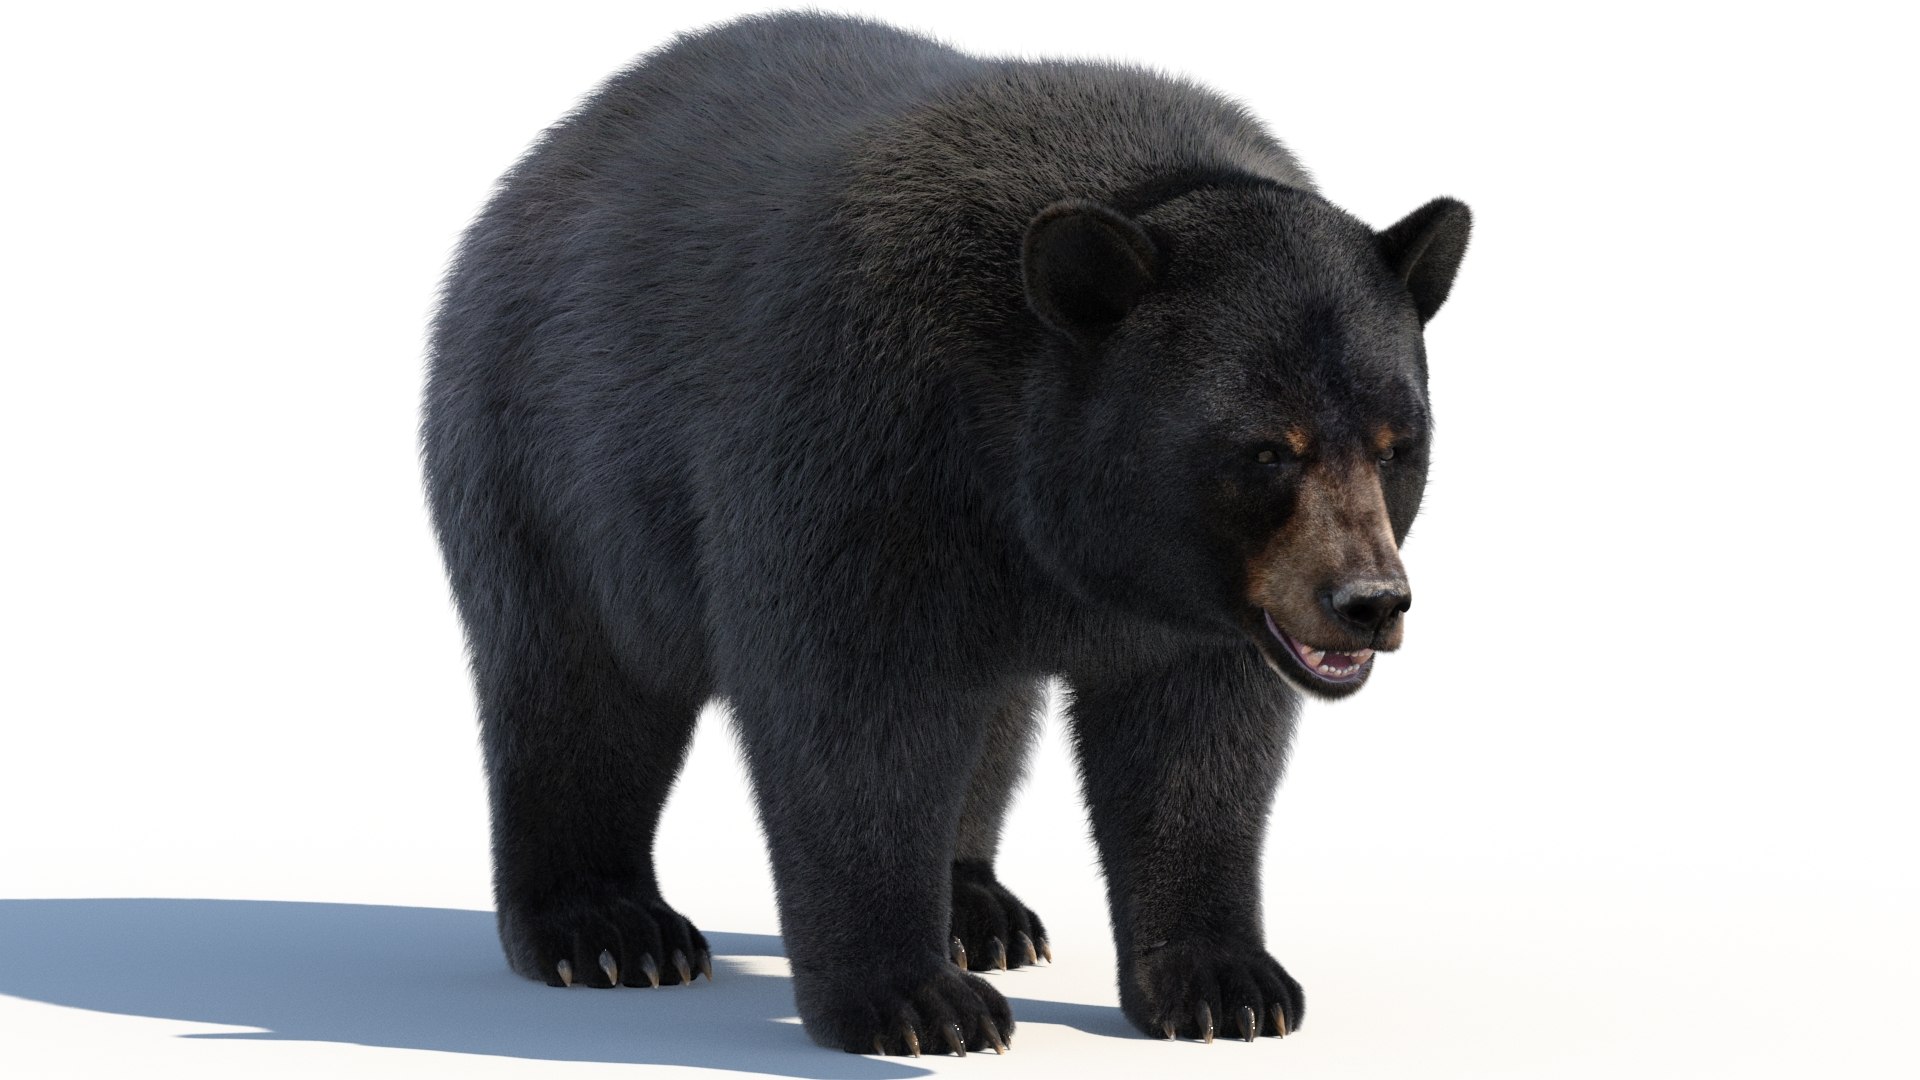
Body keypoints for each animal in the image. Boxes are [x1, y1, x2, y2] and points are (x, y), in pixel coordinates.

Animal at [422, 10, 1469, 1057]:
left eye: (1396, 443)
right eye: (1267, 450)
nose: (1369, 602)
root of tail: (544, 158)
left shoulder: (1202, 604)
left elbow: (1197, 745)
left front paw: (1225, 981)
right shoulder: (863, 431)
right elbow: (855, 709)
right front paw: (910, 1000)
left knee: (992, 714)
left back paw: (979, 908)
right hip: (548, 460)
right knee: (574, 689)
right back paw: (607, 930)